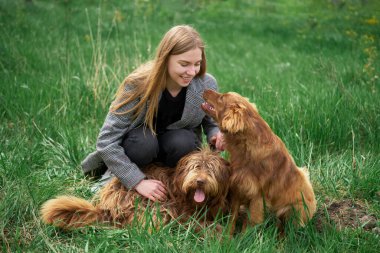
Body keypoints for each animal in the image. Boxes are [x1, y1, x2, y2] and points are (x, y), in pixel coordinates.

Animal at [41, 147, 232, 230]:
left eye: (211, 170)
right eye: (195, 167)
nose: (200, 181)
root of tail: (105, 210)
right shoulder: (183, 210)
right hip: (155, 206)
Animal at [202, 90, 318, 234]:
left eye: (222, 98)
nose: (205, 90)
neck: (246, 145)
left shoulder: (257, 196)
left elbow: (251, 222)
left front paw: (243, 238)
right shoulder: (238, 186)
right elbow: (232, 217)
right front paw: (228, 236)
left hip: (293, 209)